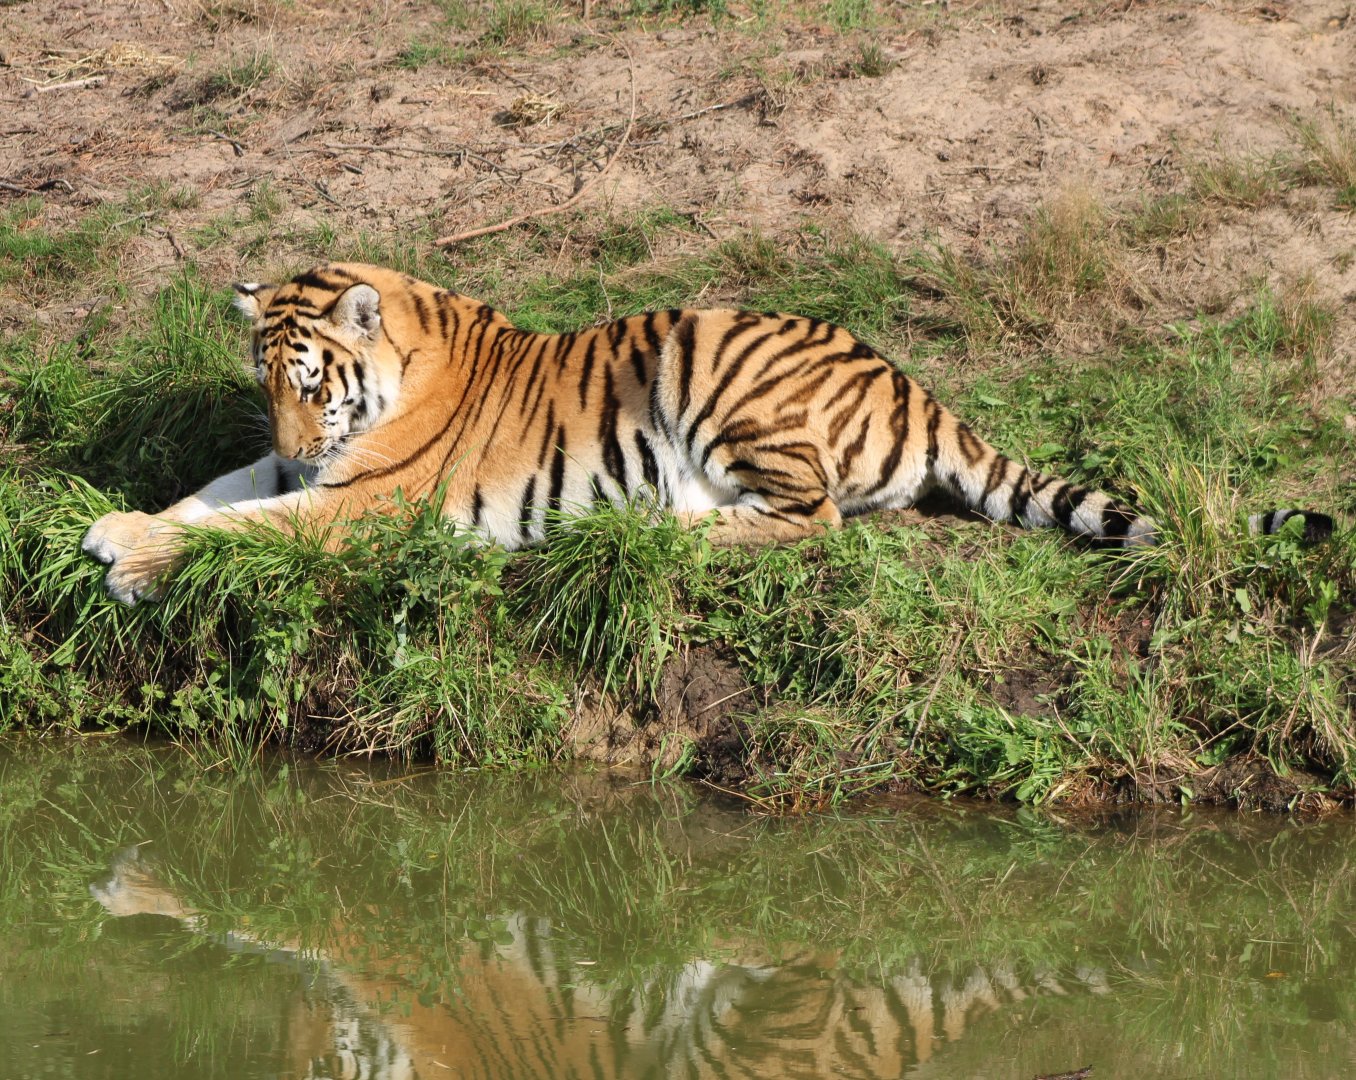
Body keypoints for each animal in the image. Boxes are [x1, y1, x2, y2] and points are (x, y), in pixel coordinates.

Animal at [81, 261, 1333, 604]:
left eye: (311, 383)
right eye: (265, 389)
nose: (302, 445)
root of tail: (917, 386)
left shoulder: (364, 500)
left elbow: (248, 529)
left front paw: (131, 556)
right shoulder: (305, 470)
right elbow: (214, 493)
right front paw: (116, 524)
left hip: (719, 370)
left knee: (815, 521)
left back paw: (664, 536)